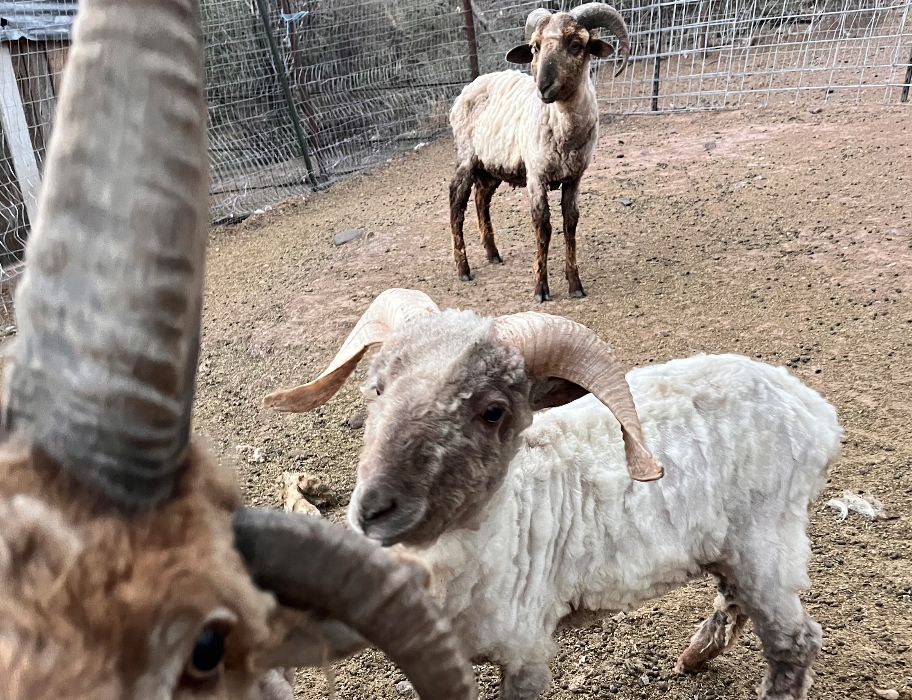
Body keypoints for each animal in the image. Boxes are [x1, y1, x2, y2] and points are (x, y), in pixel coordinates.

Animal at [268, 288, 844, 700]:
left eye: (493, 411)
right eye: (378, 388)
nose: (373, 511)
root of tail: (813, 408)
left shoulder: (526, 649)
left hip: (767, 537)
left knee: (795, 643)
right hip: (733, 545)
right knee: (736, 599)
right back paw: (694, 656)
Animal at [448, 2, 632, 304]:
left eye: (576, 44)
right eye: (535, 47)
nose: (543, 86)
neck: (563, 128)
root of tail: (473, 83)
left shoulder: (574, 178)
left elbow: (570, 223)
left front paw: (575, 285)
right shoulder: (536, 176)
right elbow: (542, 226)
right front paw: (540, 290)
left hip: (491, 165)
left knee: (481, 197)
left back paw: (493, 254)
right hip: (466, 156)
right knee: (456, 202)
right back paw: (463, 269)